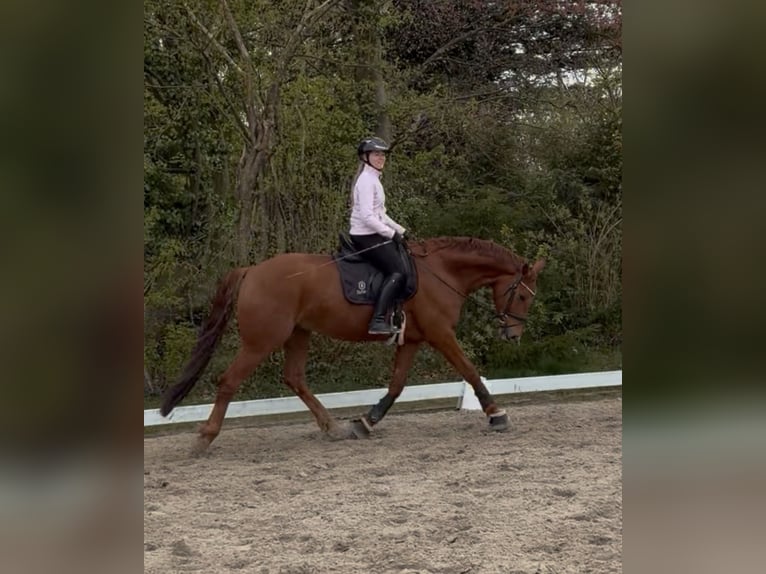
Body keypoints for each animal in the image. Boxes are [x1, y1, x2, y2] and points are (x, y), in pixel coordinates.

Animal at [160, 236, 545, 453]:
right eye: (524, 296)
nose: (513, 335)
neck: (442, 271)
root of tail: (252, 270)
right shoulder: (439, 334)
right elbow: (470, 370)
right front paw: (496, 414)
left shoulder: (413, 339)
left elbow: (396, 385)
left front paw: (366, 422)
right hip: (261, 341)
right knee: (228, 381)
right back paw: (204, 438)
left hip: (298, 334)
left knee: (294, 378)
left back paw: (333, 428)